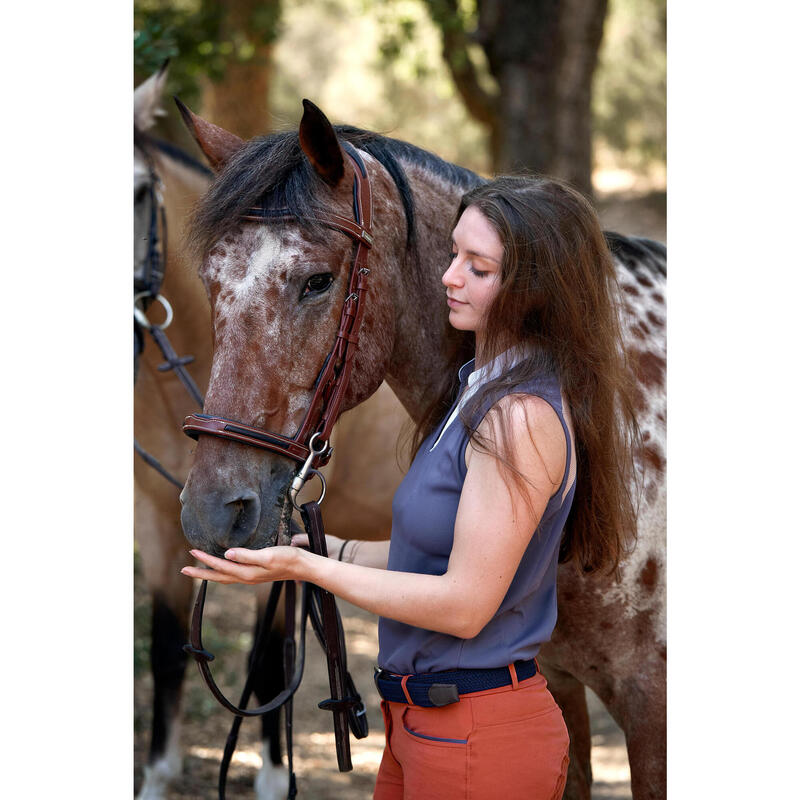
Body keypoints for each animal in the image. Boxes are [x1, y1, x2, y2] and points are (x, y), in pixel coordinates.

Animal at [135, 67, 410, 800]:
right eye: (211, 281)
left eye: (139, 192)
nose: (214, 509)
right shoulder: (159, 522)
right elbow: (167, 648)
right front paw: (157, 773)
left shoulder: (272, 530)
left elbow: (269, 661)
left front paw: (273, 775)